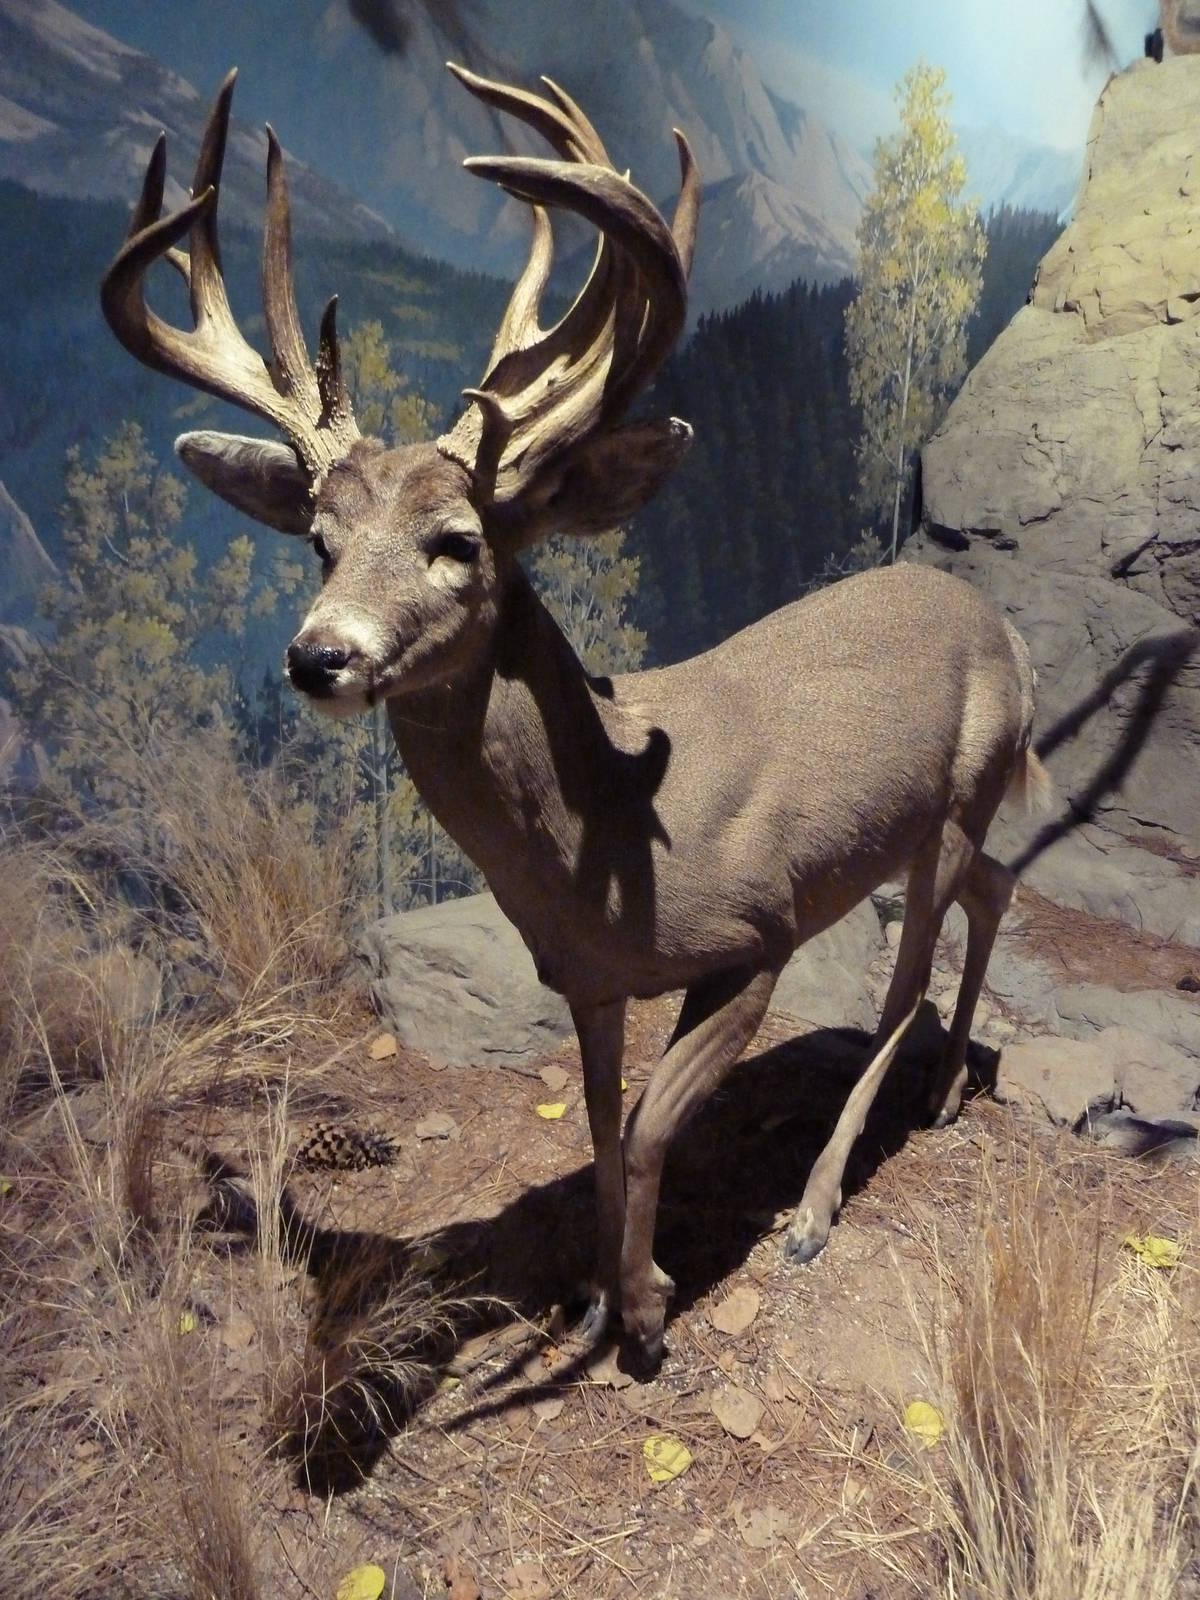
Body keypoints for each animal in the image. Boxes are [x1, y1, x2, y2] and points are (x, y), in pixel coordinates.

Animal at [100, 64, 1048, 1371]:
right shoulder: (589, 978)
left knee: (903, 986)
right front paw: (600, 1295)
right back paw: (955, 1082)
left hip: (954, 796)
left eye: (459, 543)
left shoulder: (755, 932)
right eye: (319, 541)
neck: (607, 822)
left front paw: (648, 1313)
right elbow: (600, 1124)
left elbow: (649, 1125)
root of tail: (1007, 630)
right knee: (993, 896)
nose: (317, 655)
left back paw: (817, 1208)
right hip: (932, 823)